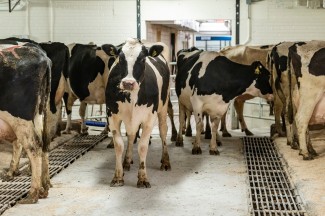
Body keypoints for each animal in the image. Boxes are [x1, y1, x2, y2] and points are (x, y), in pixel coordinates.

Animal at [0, 40, 51, 202]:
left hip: (20, 118)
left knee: (32, 145)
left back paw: (33, 192)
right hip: (38, 114)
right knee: (42, 144)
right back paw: (44, 186)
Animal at [102, 38, 171, 187]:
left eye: (143, 59)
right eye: (120, 58)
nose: (128, 83)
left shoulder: (149, 118)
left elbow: (143, 147)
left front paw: (143, 178)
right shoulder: (112, 116)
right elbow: (119, 145)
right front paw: (118, 177)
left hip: (163, 107)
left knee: (163, 131)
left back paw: (166, 161)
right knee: (131, 135)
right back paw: (127, 161)